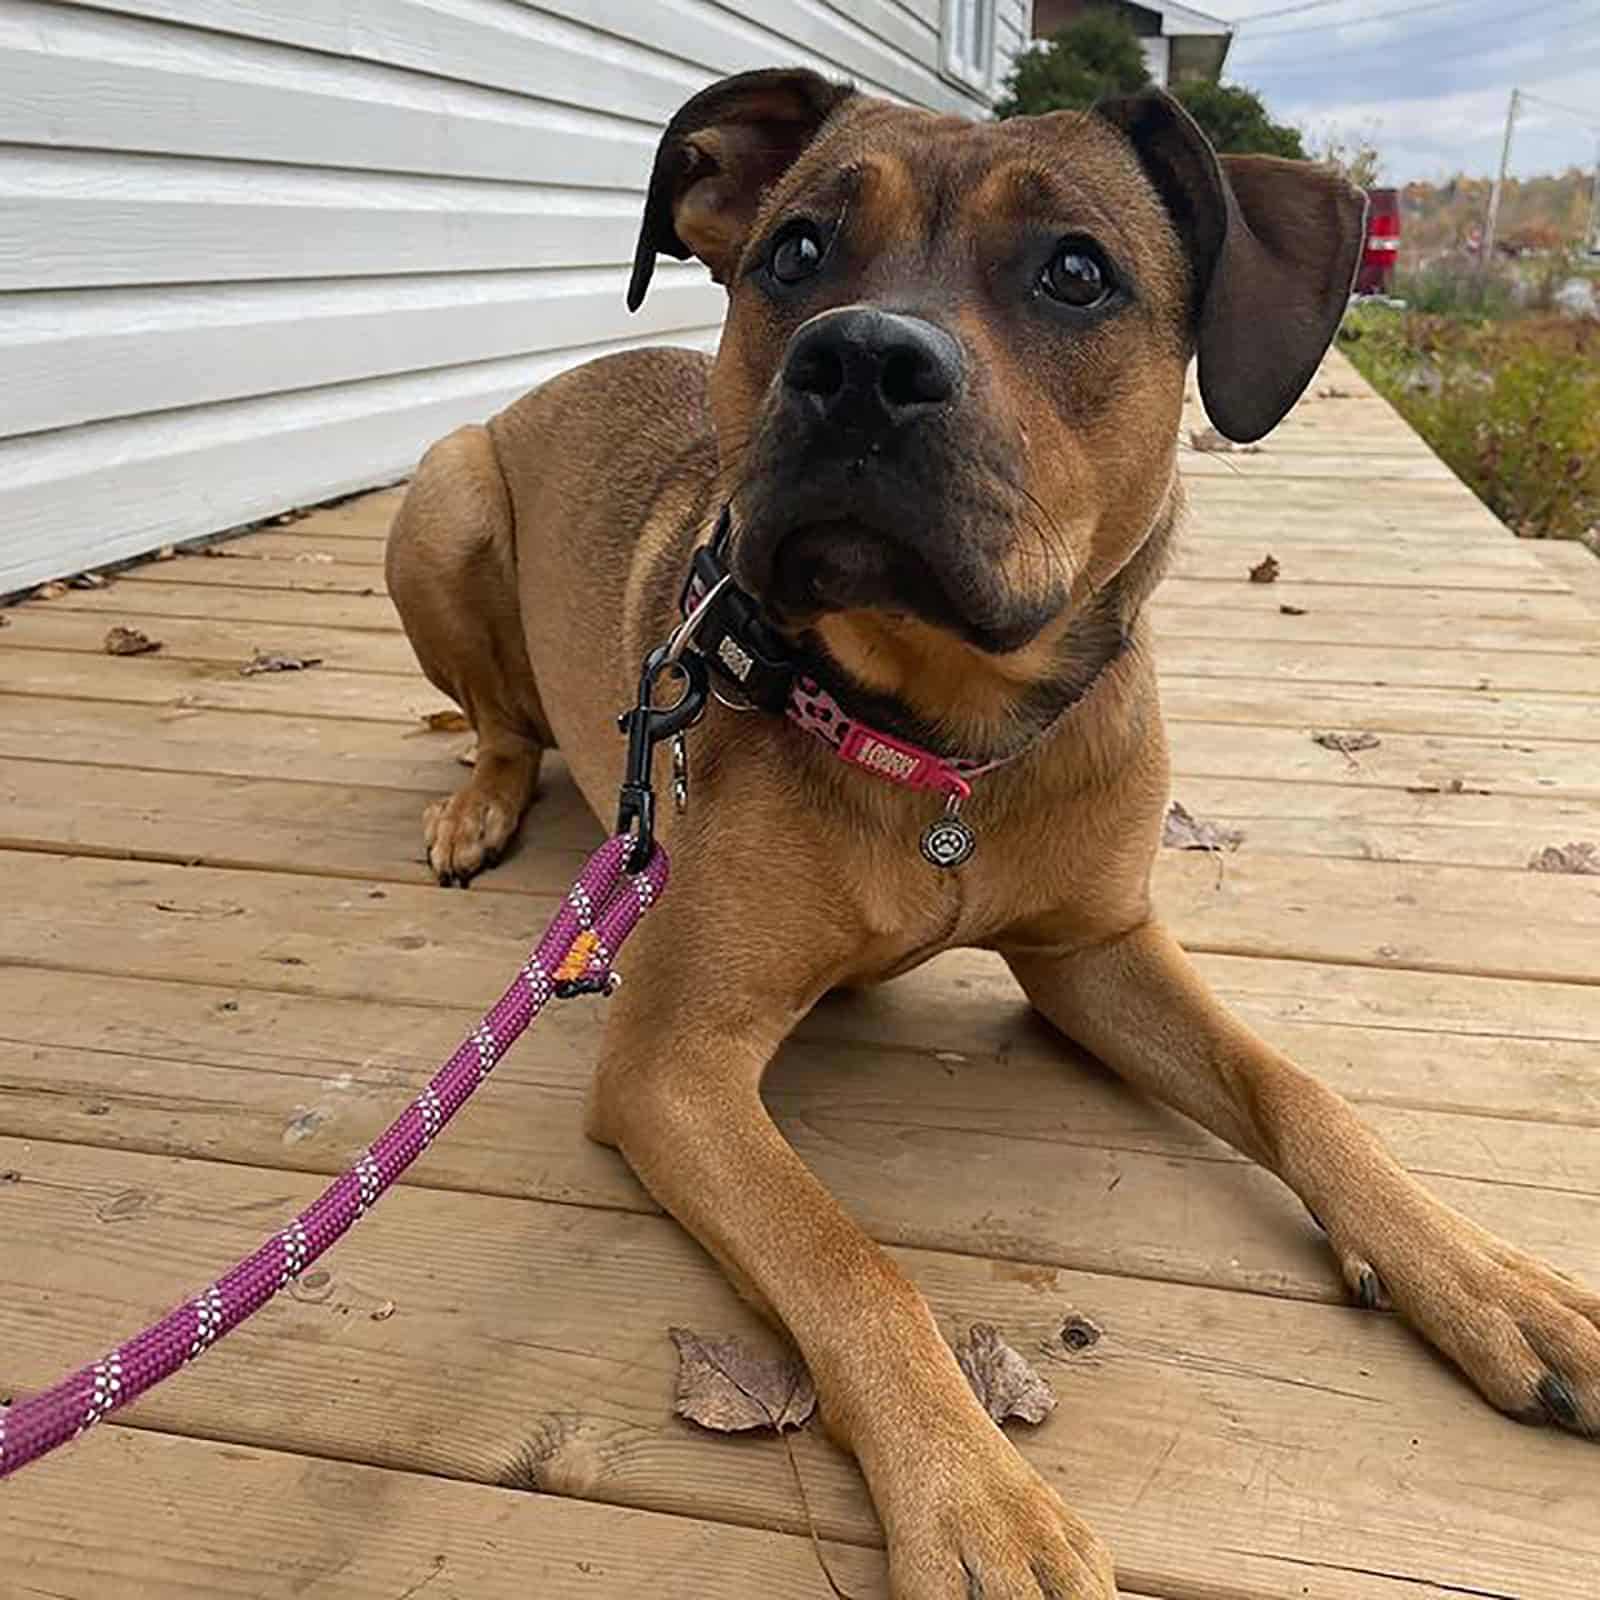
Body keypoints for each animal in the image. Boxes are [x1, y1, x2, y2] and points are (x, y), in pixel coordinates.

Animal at [390, 75, 1600, 1600]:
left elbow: (1296, 1089)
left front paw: (1490, 1278)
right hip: (441, 500)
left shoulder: (1100, 951)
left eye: (1076, 273)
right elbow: (848, 1259)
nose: (858, 361)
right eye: (795, 252)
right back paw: (479, 806)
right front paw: (981, 1501)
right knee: (497, 721)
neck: (941, 734)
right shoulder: (677, 1060)